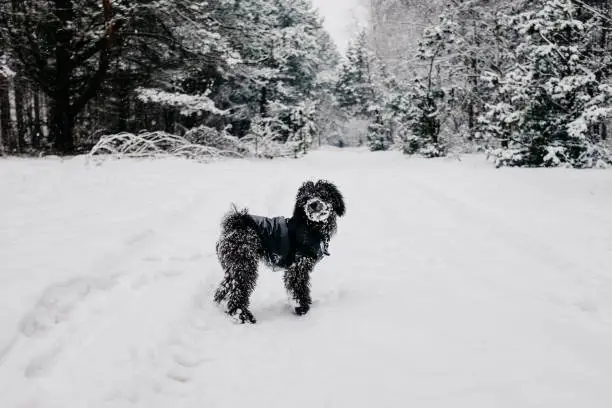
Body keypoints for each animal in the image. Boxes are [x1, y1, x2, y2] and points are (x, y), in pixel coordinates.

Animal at [213, 180, 344, 324]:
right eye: (305, 199)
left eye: (322, 194)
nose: (313, 204)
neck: (311, 226)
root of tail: (234, 225)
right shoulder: (297, 267)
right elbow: (298, 288)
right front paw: (301, 308)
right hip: (244, 264)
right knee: (237, 292)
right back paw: (243, 316)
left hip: (233, 267)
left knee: (225, 287)